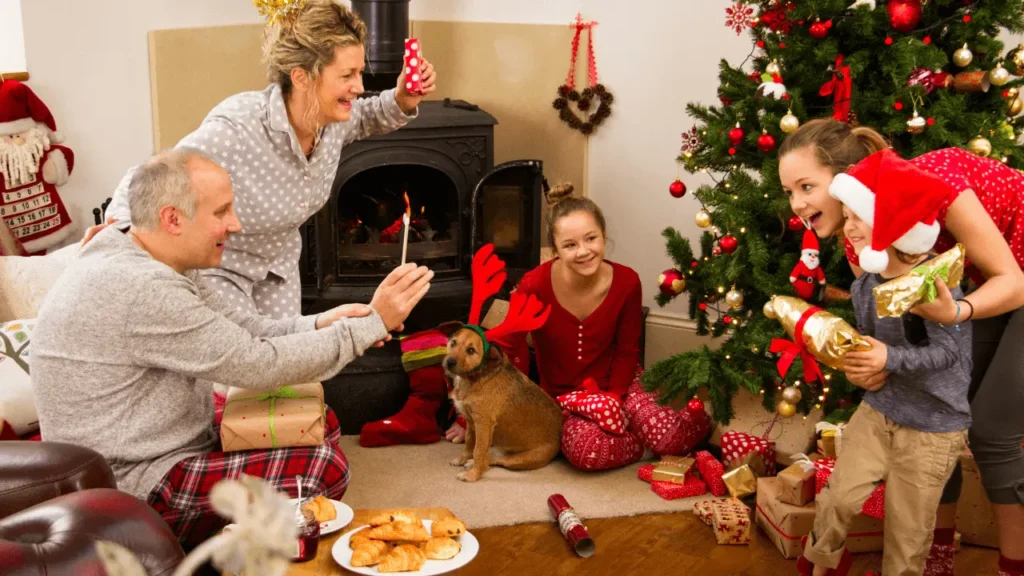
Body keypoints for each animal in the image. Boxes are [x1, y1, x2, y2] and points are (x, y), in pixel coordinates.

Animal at [442, 323, 565, 479]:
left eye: (471, 350)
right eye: (453, 343)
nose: (449, 362)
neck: (475, 377)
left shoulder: (483, 423)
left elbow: (478, 450)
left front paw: (473, 475)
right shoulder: (470, 421)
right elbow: (469, 442)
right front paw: (463, 459)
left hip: (519, 460)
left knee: (495, 460)